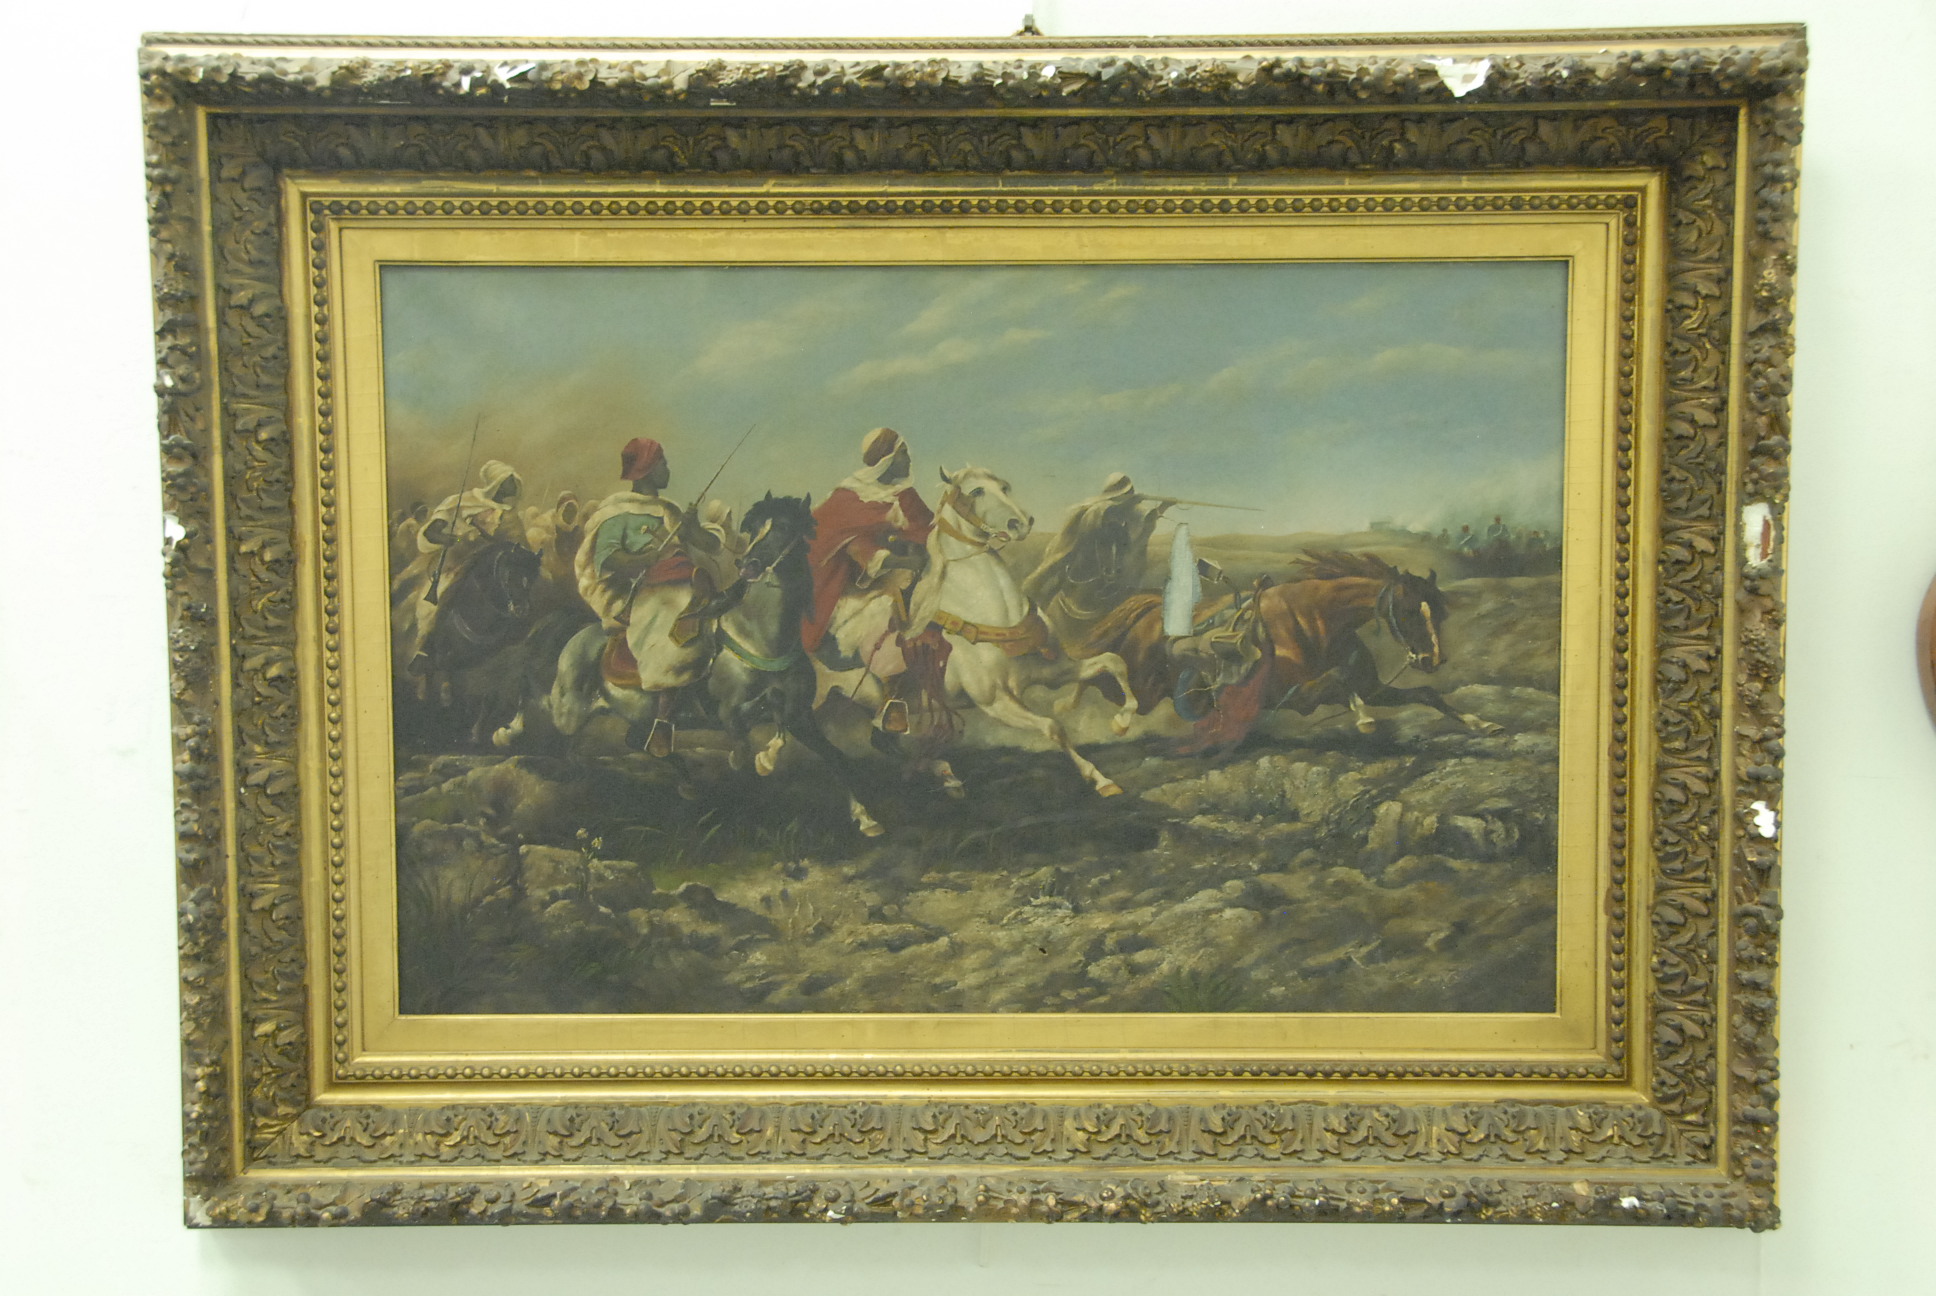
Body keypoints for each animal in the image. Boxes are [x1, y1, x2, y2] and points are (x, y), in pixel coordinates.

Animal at [707, 493, 884, 837]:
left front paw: (866, 817)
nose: (747, 565)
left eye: (784, 528)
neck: (764, 641)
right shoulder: (727, 712)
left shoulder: (802, 717)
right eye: (752, 528)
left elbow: (834, 756)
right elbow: (742, 755)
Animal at [812, 465, 1138, 798]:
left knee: (882, 739)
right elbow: (1053, 726)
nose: (1020, 522)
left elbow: (1113, 662)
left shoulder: (1051, 670)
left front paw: (1122, 721)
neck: (992, 613)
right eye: (977, 491)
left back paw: (941, 774)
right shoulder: (995, 702)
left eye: (1004, 487)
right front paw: (1099, 778)